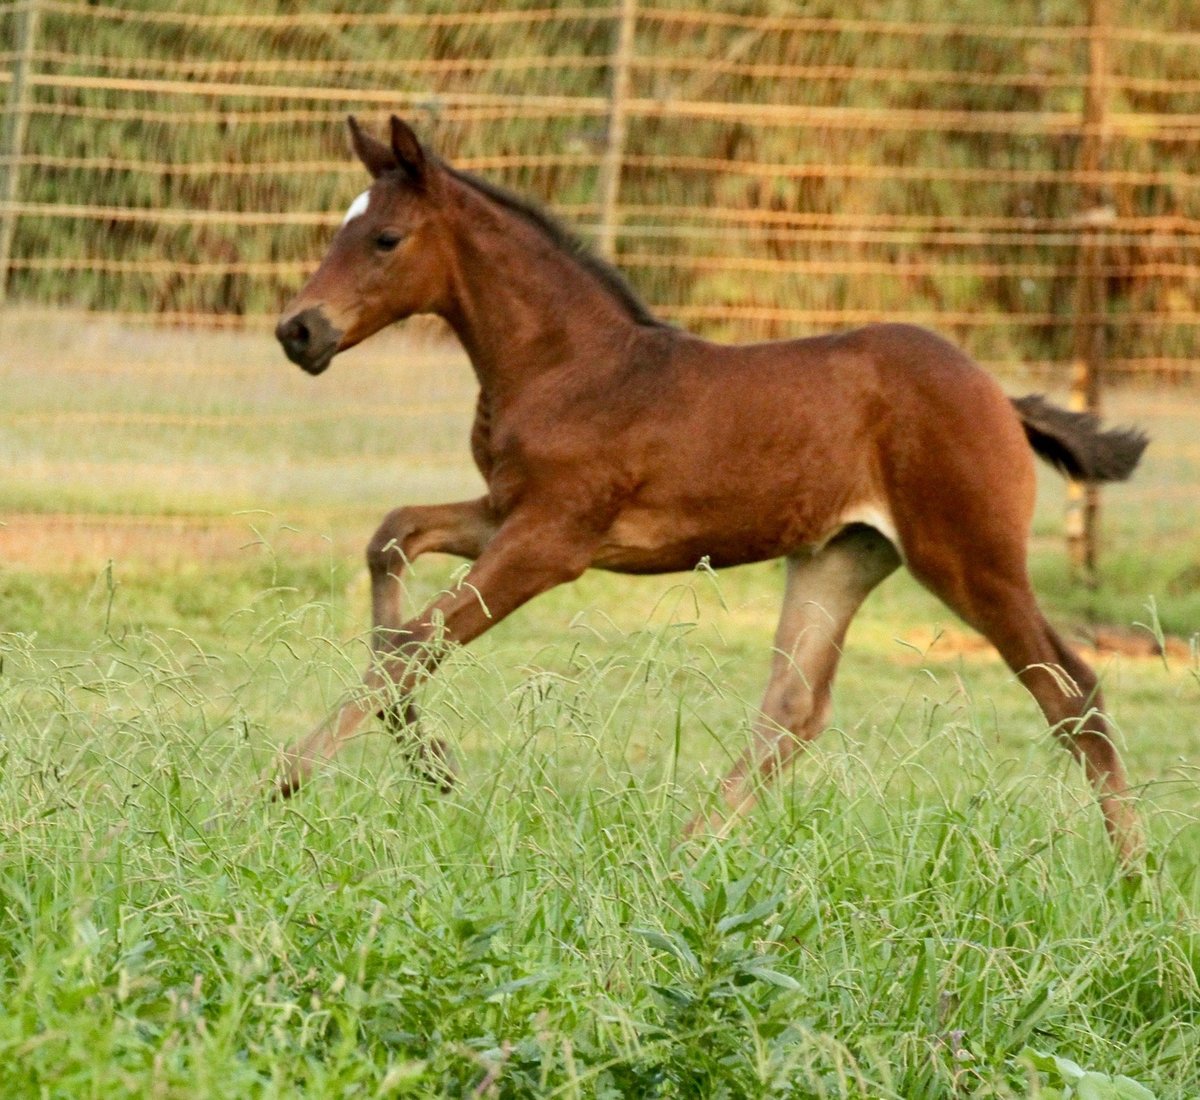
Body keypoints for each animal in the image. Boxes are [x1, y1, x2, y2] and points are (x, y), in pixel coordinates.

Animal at [272, 115, 1142, 863]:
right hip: (843, 556)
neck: (570, 364)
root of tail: (999, 396)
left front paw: (286, 778)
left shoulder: (551, 542)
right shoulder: (507, 514)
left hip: (970, 559)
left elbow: (422, 637)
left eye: (385, 238)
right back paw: (682, 852)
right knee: (793, 710)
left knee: (1074, 690)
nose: (298, 330)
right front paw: (428, 758)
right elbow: (391, 544)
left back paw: (1133, 879)